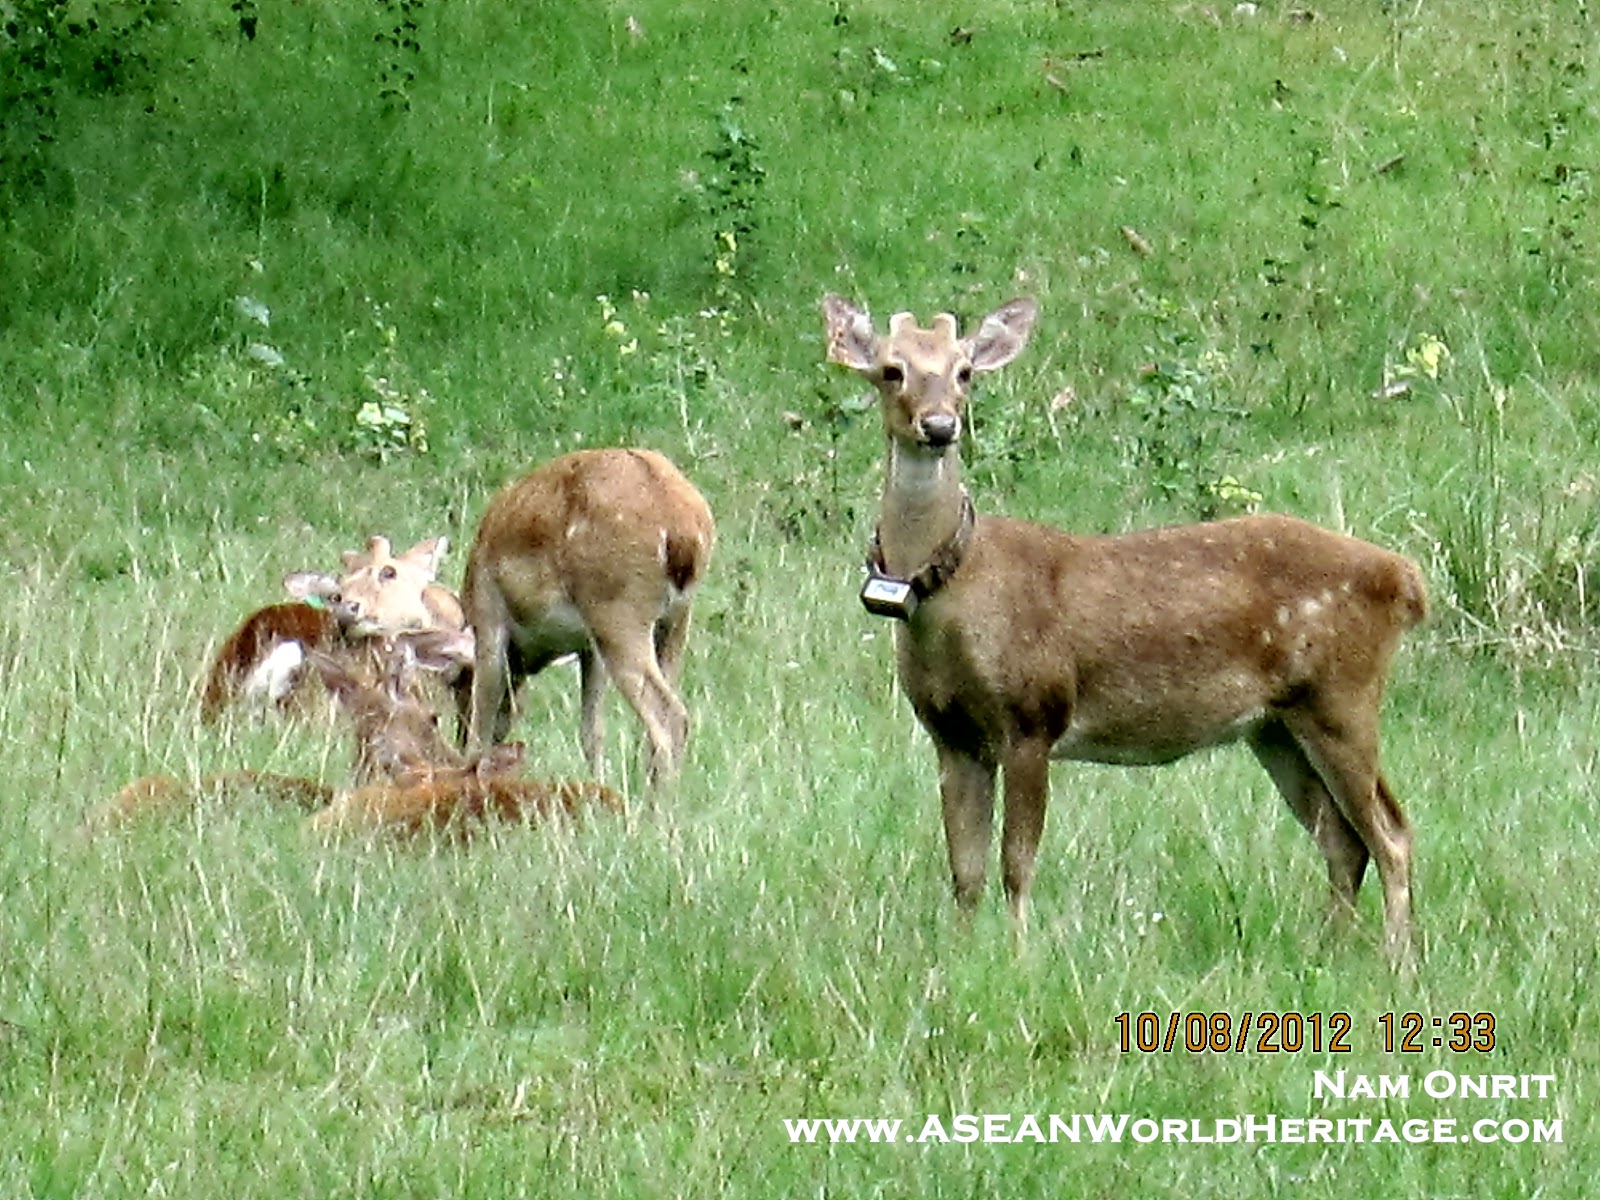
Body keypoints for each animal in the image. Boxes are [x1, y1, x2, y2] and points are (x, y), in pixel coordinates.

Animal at [464, 451, 713, 790]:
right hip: (675, 620)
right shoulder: (588, 648)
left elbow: (482, 721)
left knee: (669, 715)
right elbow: (592, 731)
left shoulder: (488, 618)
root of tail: (683, 530)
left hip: (619, 612)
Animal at [825, 296, 1427, 966]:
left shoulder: (1034, 714)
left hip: (1342, 696)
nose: (938, 425)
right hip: (1274, 726)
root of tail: (1403, 578)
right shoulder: (950, 732)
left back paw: (1397, 961)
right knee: (1342, 839)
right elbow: (965, 869)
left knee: (1392, 832)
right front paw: (960, 956)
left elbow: (1016, 863)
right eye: (891, 370)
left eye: (964, 372)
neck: (953, 587)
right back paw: (1329, 950)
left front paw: (1019, 957)